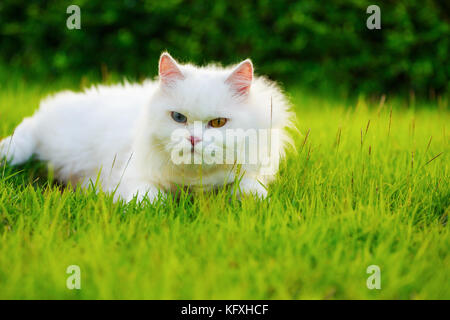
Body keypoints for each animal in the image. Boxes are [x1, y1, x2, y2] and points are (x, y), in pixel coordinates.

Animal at [0, 52, 294, 202]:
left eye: (218, 123)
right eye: (178, 118)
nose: (193, 141)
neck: (193, 180)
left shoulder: (250, 175)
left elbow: (253, 192)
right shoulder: (130, 176)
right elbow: (151, 200)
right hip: (50, 137)